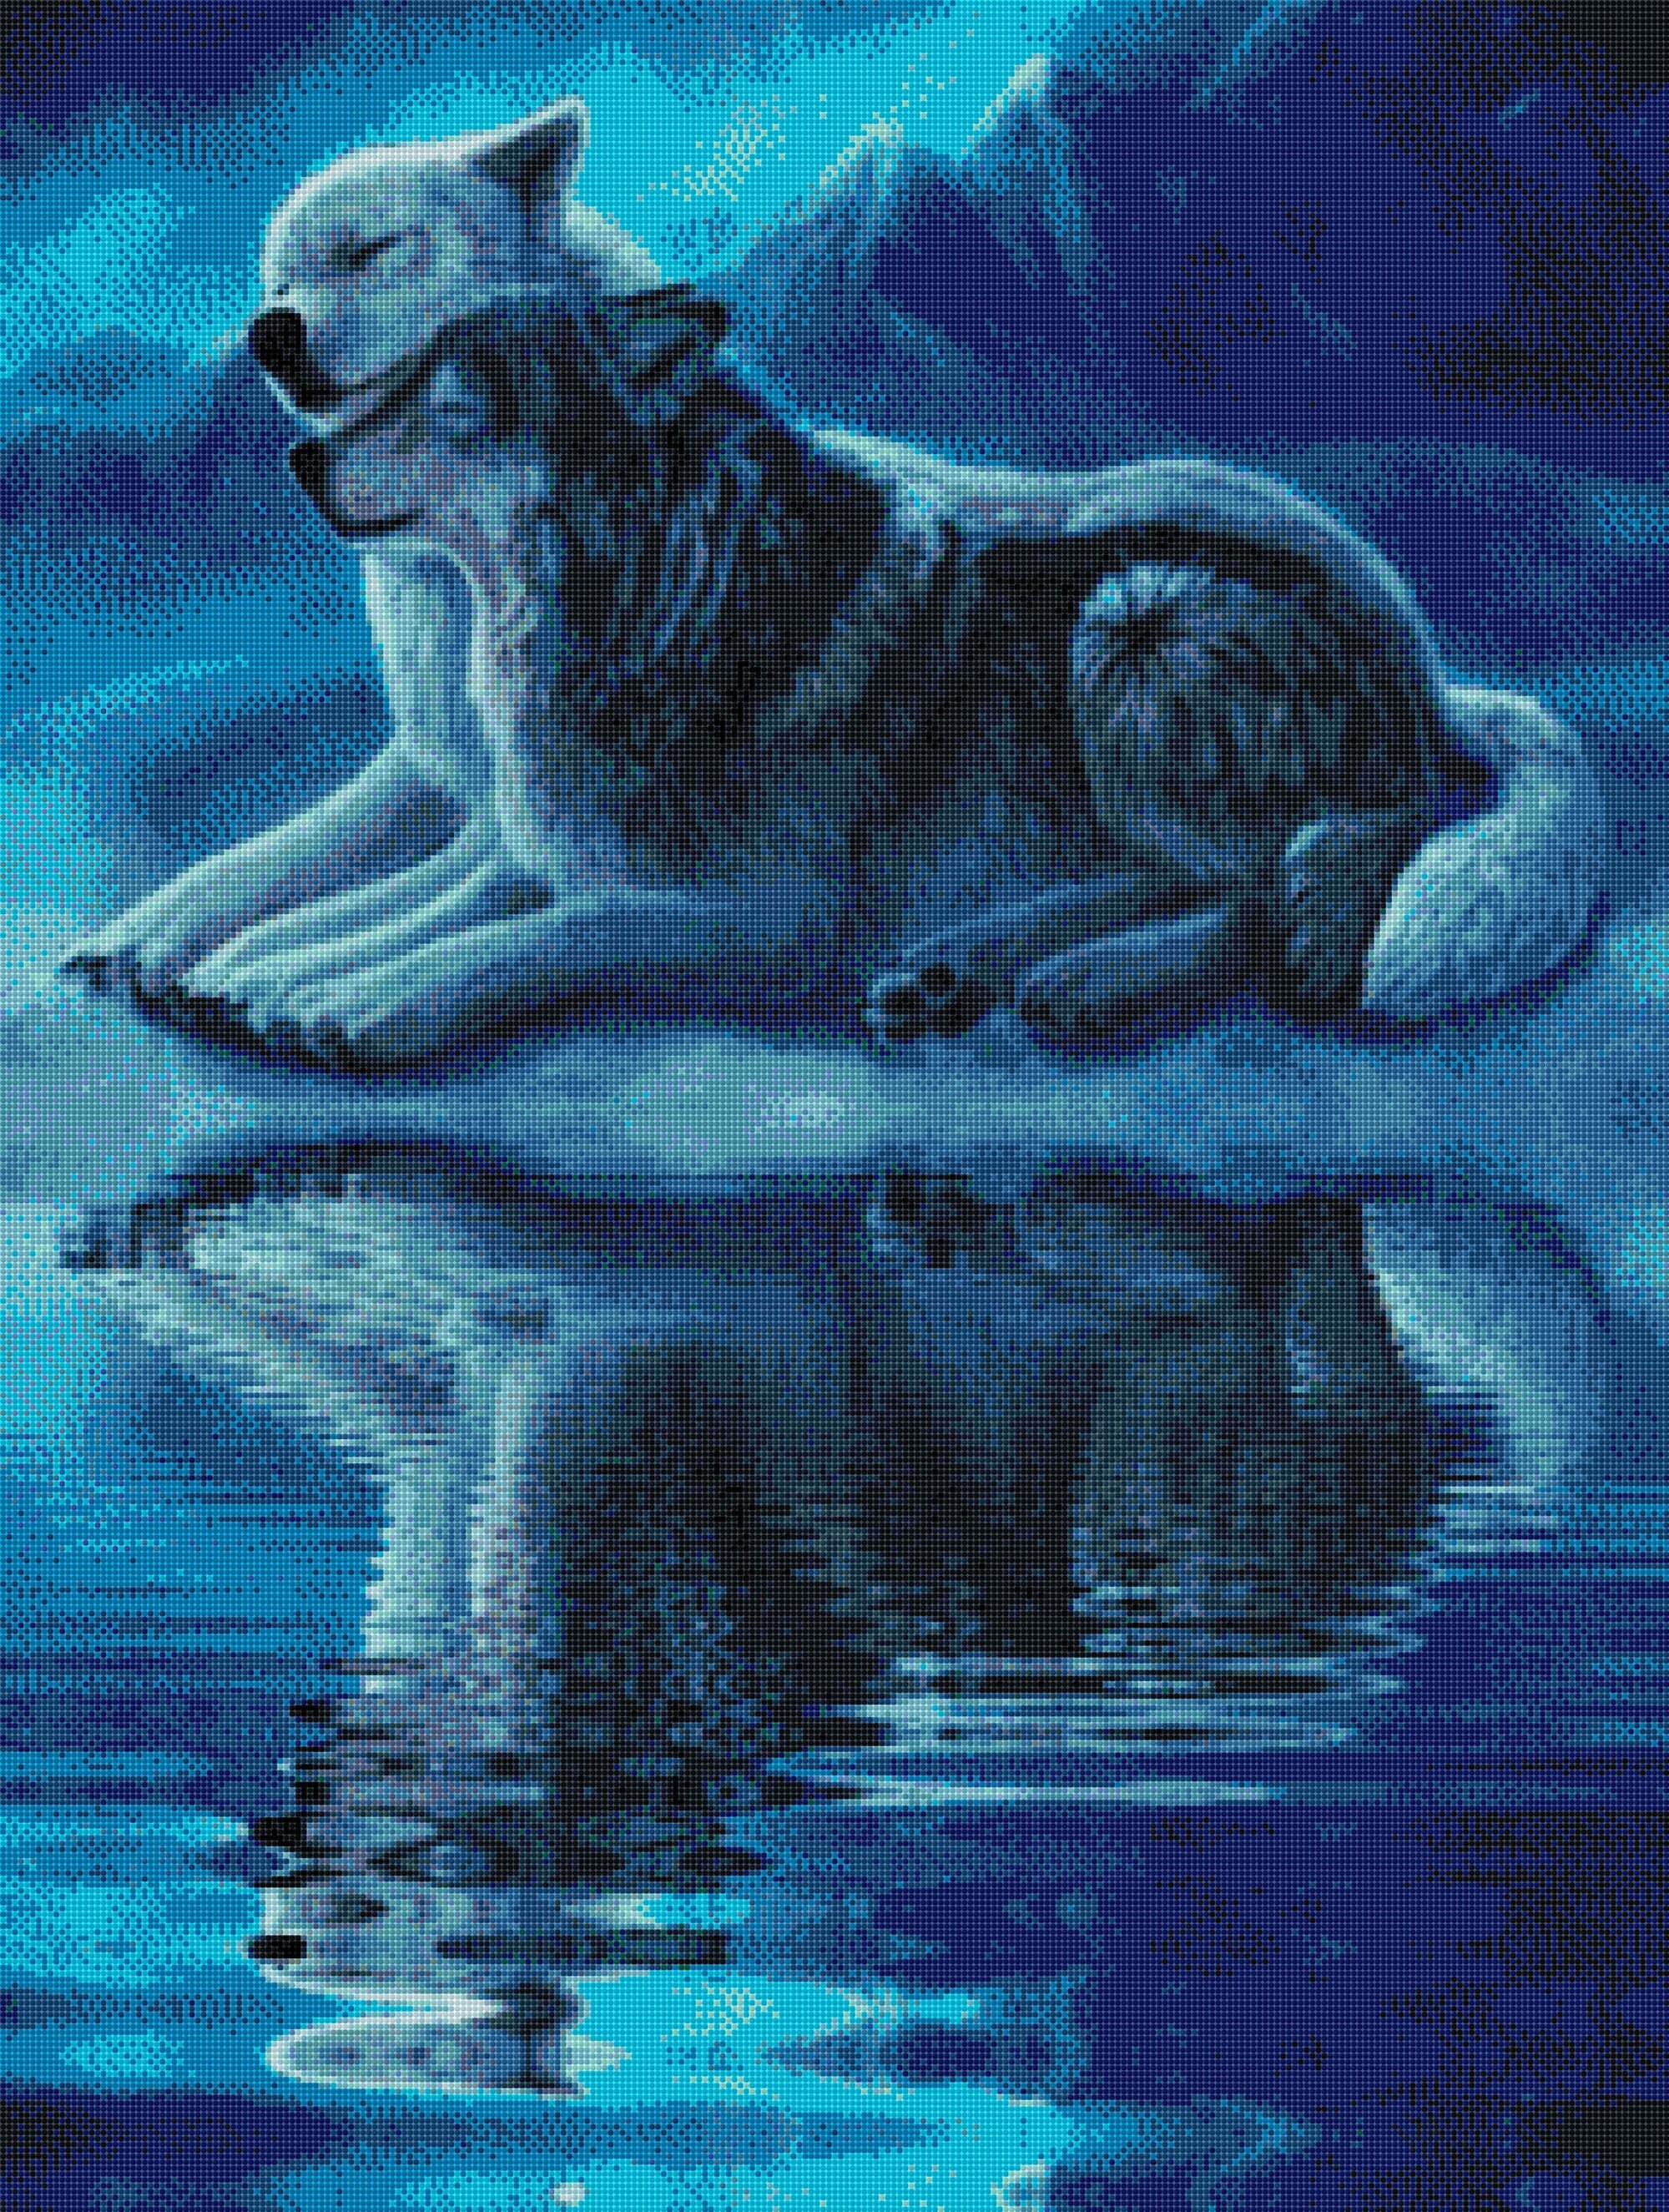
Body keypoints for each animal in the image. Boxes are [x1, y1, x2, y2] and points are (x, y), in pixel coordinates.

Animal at [62, 104, 1603, 1067]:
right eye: (280, 272)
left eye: (452, 403)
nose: (284, 412)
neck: (640, 607)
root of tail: (1434, 676)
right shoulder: (496, 810)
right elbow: (328, 873)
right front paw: (225, 959)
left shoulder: (749, 920)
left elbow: (531, 936)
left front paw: (349, 999)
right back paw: (969, 964)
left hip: (1130, 621)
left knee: (1274, 882)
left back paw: (1089, 982)